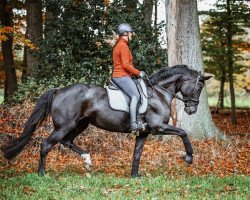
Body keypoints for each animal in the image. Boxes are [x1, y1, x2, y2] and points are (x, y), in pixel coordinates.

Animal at [0, 64, 211, 177]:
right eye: (199, 87)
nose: (192, 109)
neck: (159, 93)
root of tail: (59, 90)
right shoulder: (158, 127)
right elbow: (183, 133)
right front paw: (189, 158)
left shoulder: (144, 132)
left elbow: (137, 154)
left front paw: (135, 175)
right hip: (65, 126)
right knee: (46, 145)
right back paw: (42, 173)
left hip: (80, 124)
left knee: (67, 141)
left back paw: (87, 161)